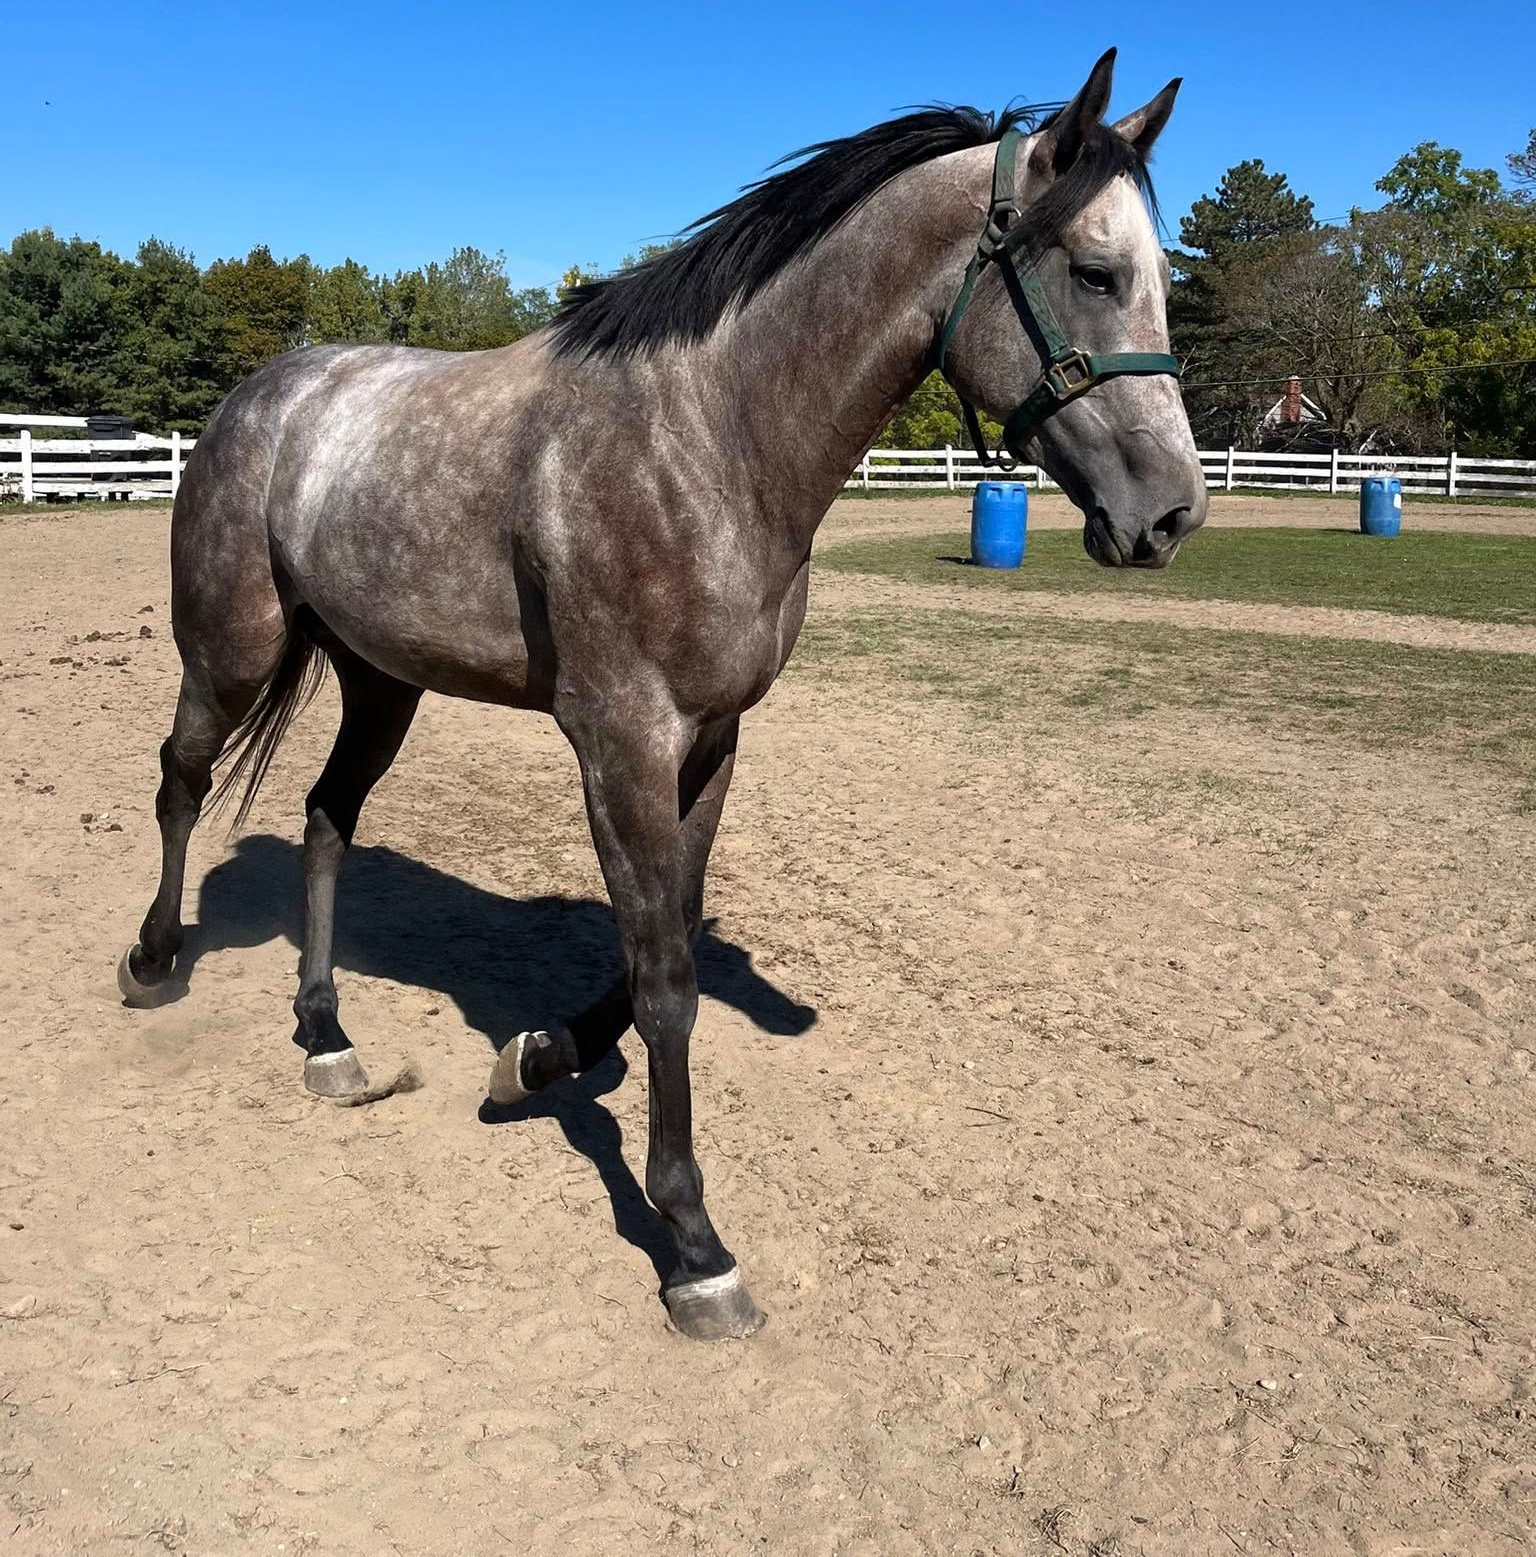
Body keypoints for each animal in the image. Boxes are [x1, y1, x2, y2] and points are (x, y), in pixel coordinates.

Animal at [116, 48, 1206, 1341]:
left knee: (327, 820)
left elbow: (661, 944)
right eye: (1094, 272)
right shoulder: (620, 742)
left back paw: (327, 1034)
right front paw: (692, 1244)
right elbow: (668, 985)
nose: (1174, 515)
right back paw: (153, 962)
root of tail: (267, 393)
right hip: (229, 652)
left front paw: (537, 1057)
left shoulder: (710, 743)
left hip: (384, 682)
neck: (708, 441)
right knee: (182, 781)